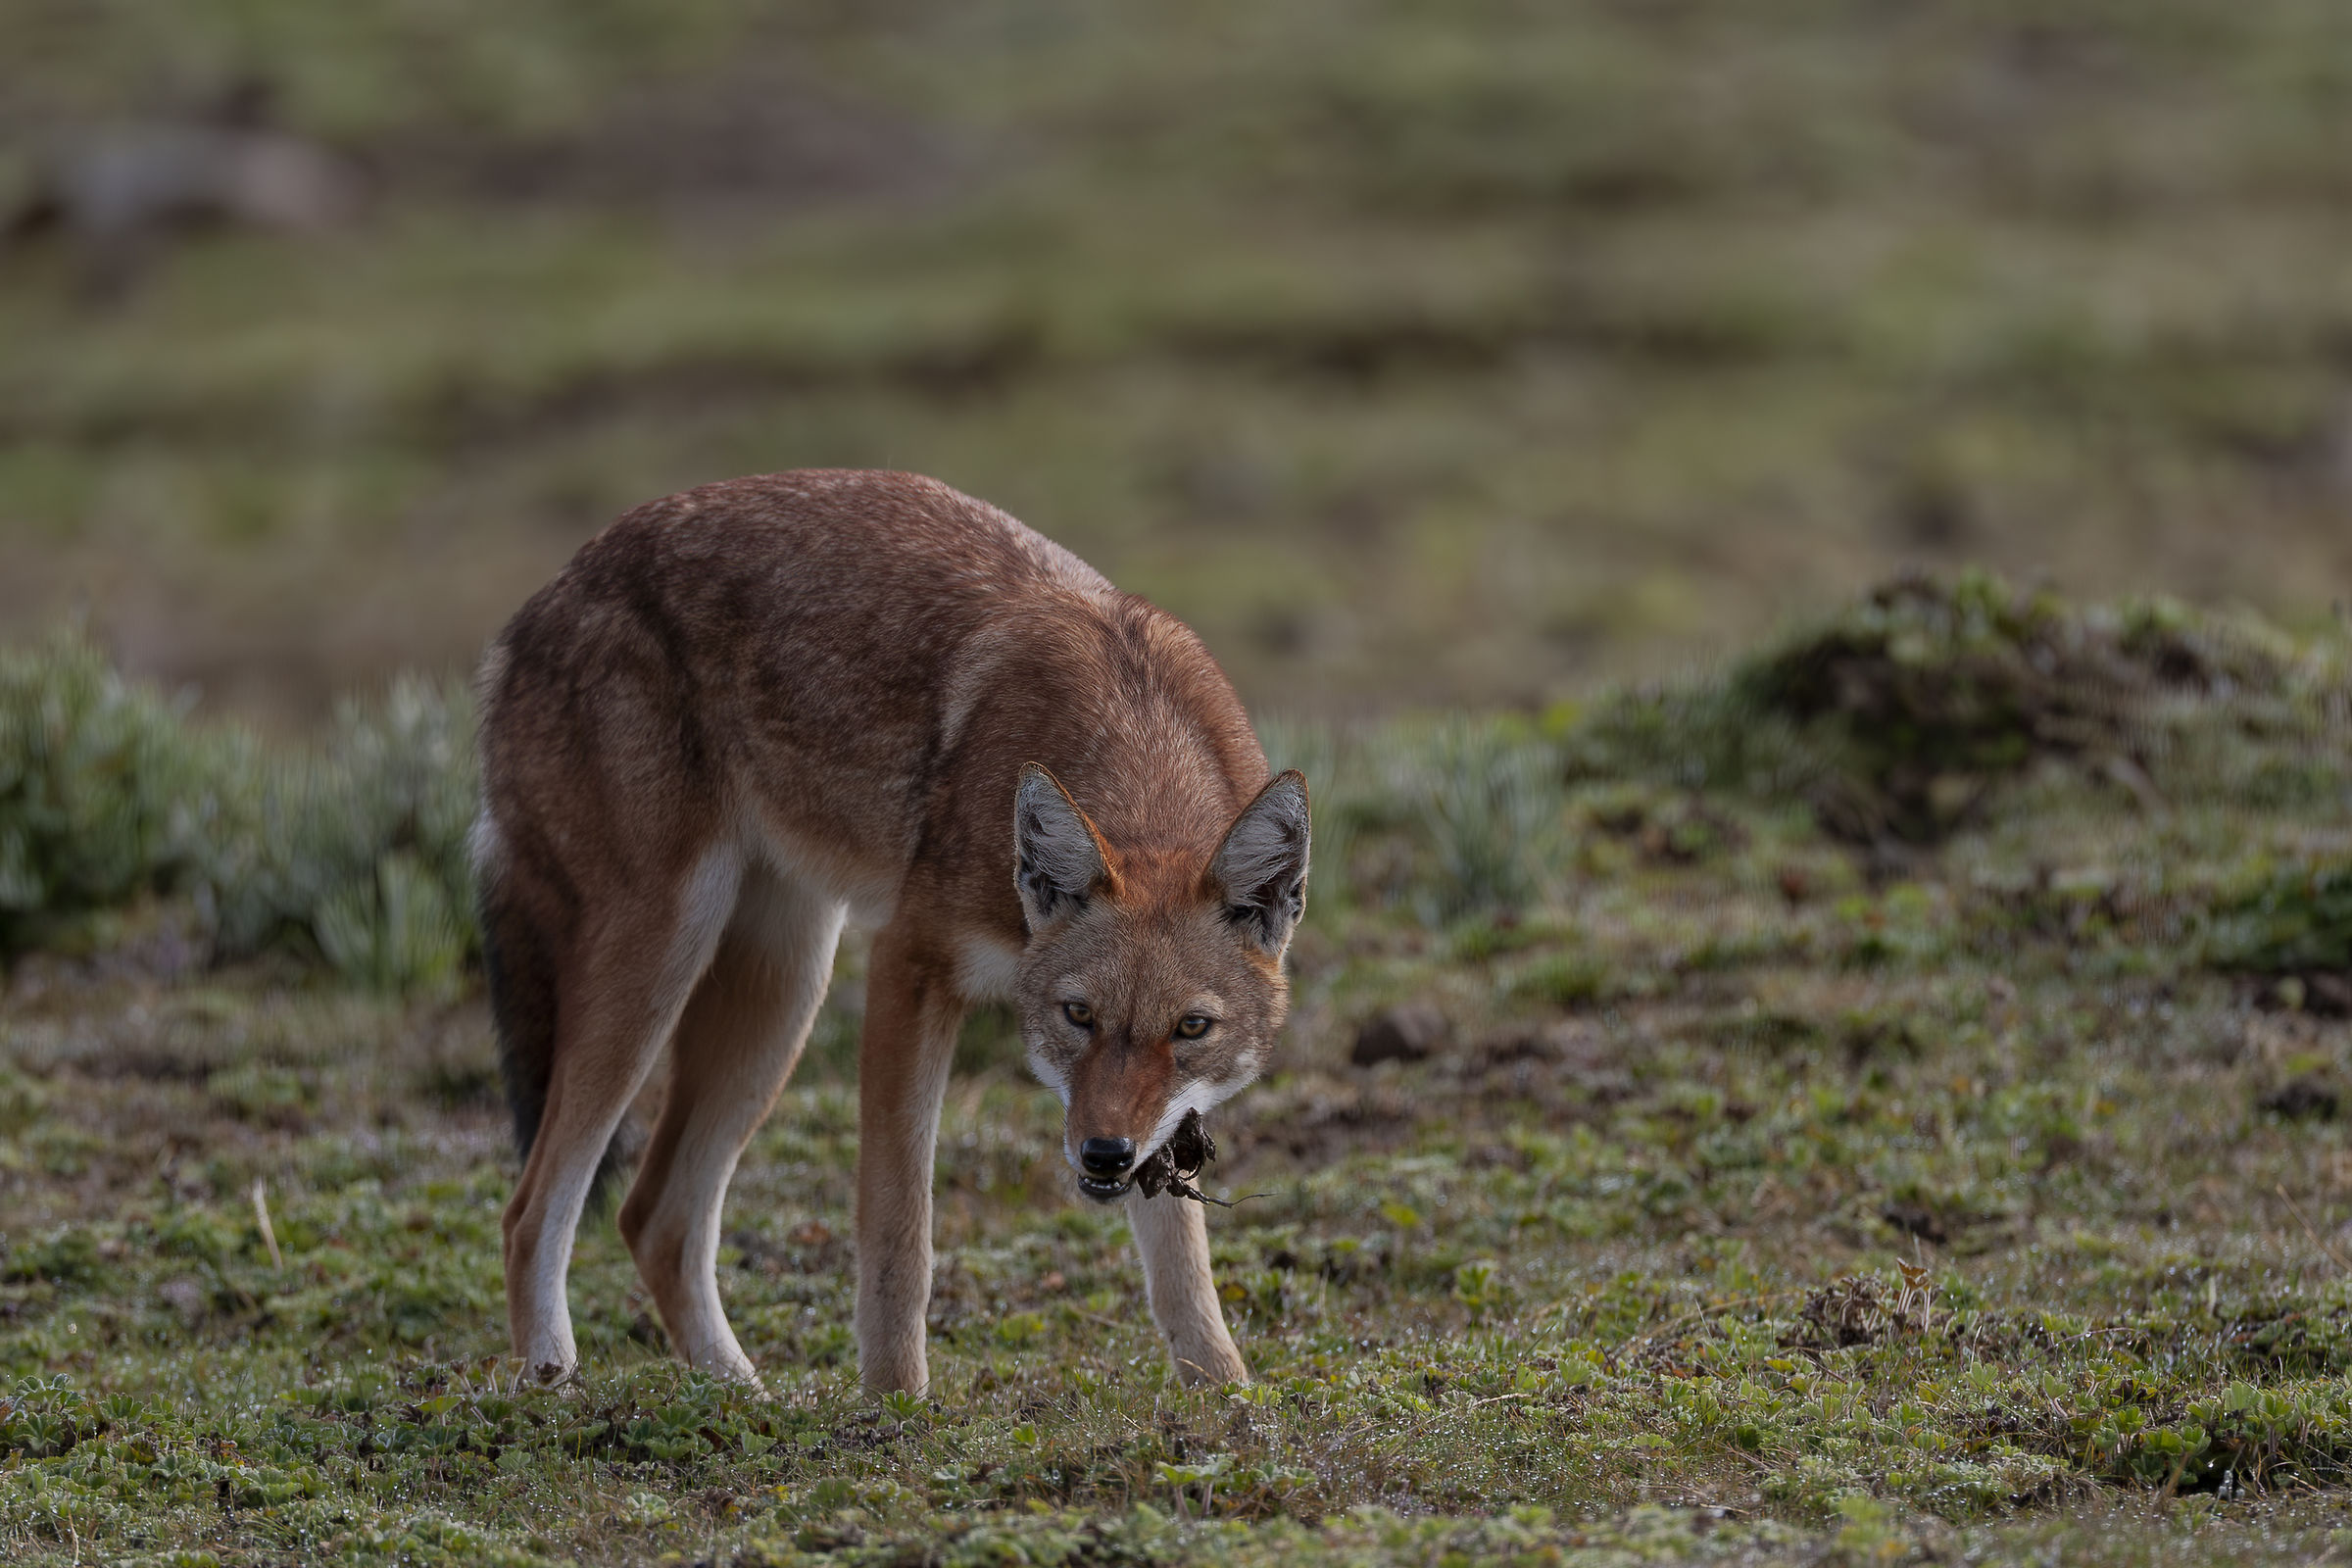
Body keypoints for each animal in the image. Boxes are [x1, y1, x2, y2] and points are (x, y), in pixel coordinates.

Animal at [471, 470, 1308, 1395]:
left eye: (1191, 1029)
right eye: (1077, 1016)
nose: (1102, 1156)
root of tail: (546, 596)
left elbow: (1181, 1263)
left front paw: (1227, 1395)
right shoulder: (909, 966)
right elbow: (900, 1233)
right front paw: (894, 1404)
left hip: (781, 995)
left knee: (655, 1215)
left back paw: (743, 1398)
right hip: (660, 964)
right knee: (530, 1212)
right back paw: (554, 1389)